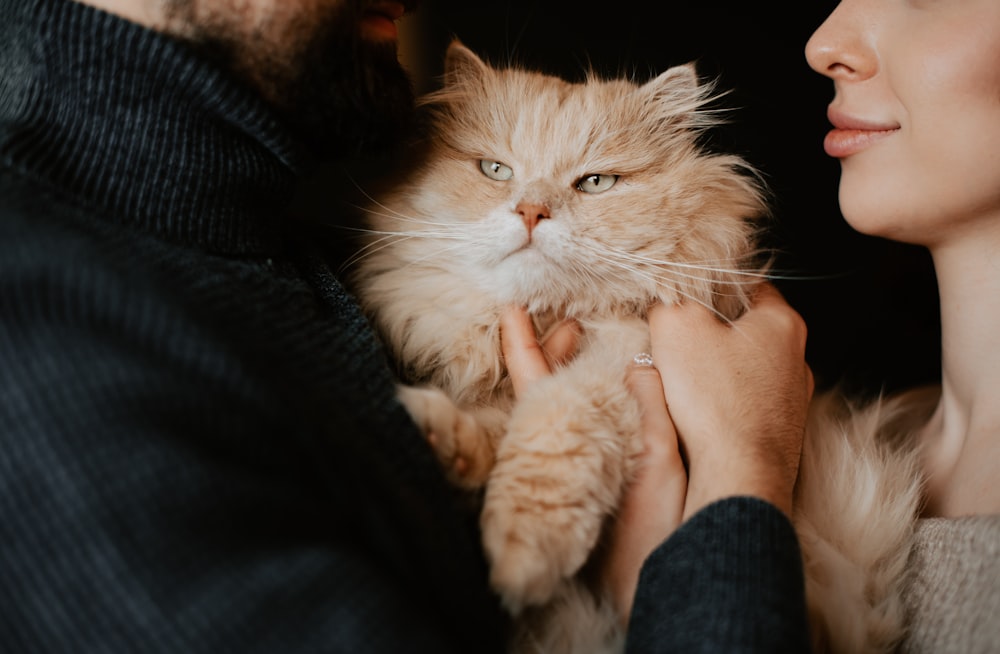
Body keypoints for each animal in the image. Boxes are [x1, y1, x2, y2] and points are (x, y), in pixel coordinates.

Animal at [348, 39, 924, 654]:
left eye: (596, 183)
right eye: (495, 170)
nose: (530, 212)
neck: (548, 318)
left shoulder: (612, 374)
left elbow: (549, 439)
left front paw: (520, 559)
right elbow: (488, 428)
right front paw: (434, 436)